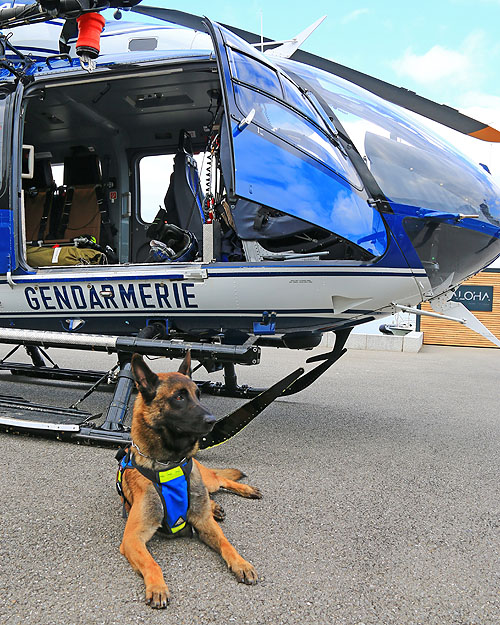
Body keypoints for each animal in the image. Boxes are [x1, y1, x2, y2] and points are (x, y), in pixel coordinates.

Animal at [114, 354, 260, 608]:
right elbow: (152, 563)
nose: (213, 421)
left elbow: (227, 544)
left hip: (207, 480)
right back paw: (215, 507)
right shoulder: (133, 538)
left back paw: (244, 490)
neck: (168, 464)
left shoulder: (205, 524)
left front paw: (241, 563)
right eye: (179, 397)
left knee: (221, 479)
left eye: (198, 395)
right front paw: (157, 586)